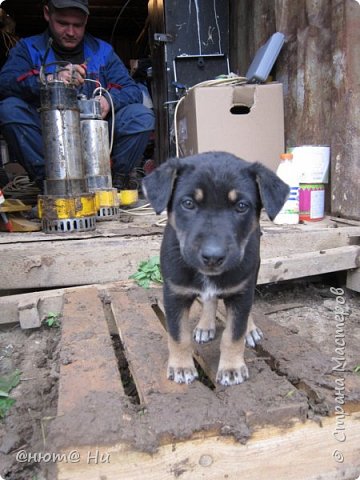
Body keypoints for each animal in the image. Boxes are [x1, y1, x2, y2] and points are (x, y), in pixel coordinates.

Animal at [142, 153, 288, 386]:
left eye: (241, 206)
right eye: (188, 203)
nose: (213, 257)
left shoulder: (241, 291)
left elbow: (234, 334)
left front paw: (231, 368)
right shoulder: (174, 293)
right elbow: (178, 335)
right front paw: (181, 367)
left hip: (253, 269)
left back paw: (250, 329)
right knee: (209, 300)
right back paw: (205, 325)